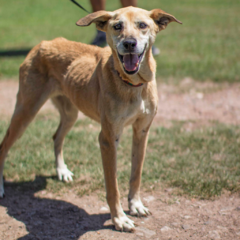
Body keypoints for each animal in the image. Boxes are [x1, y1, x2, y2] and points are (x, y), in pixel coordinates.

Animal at [0, 7, 180, 231]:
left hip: (70, 113)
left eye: (142, 25)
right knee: (4, 146)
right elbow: (113, 187)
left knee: (56, 137)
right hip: (26, 111)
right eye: (117, 26)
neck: (132, 84)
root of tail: (43, 43)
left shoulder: (142, 132)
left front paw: (135, 205)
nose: (129, 43)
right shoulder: (108, 139)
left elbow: (136, 175)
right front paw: (119, 219)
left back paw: (62, 171)